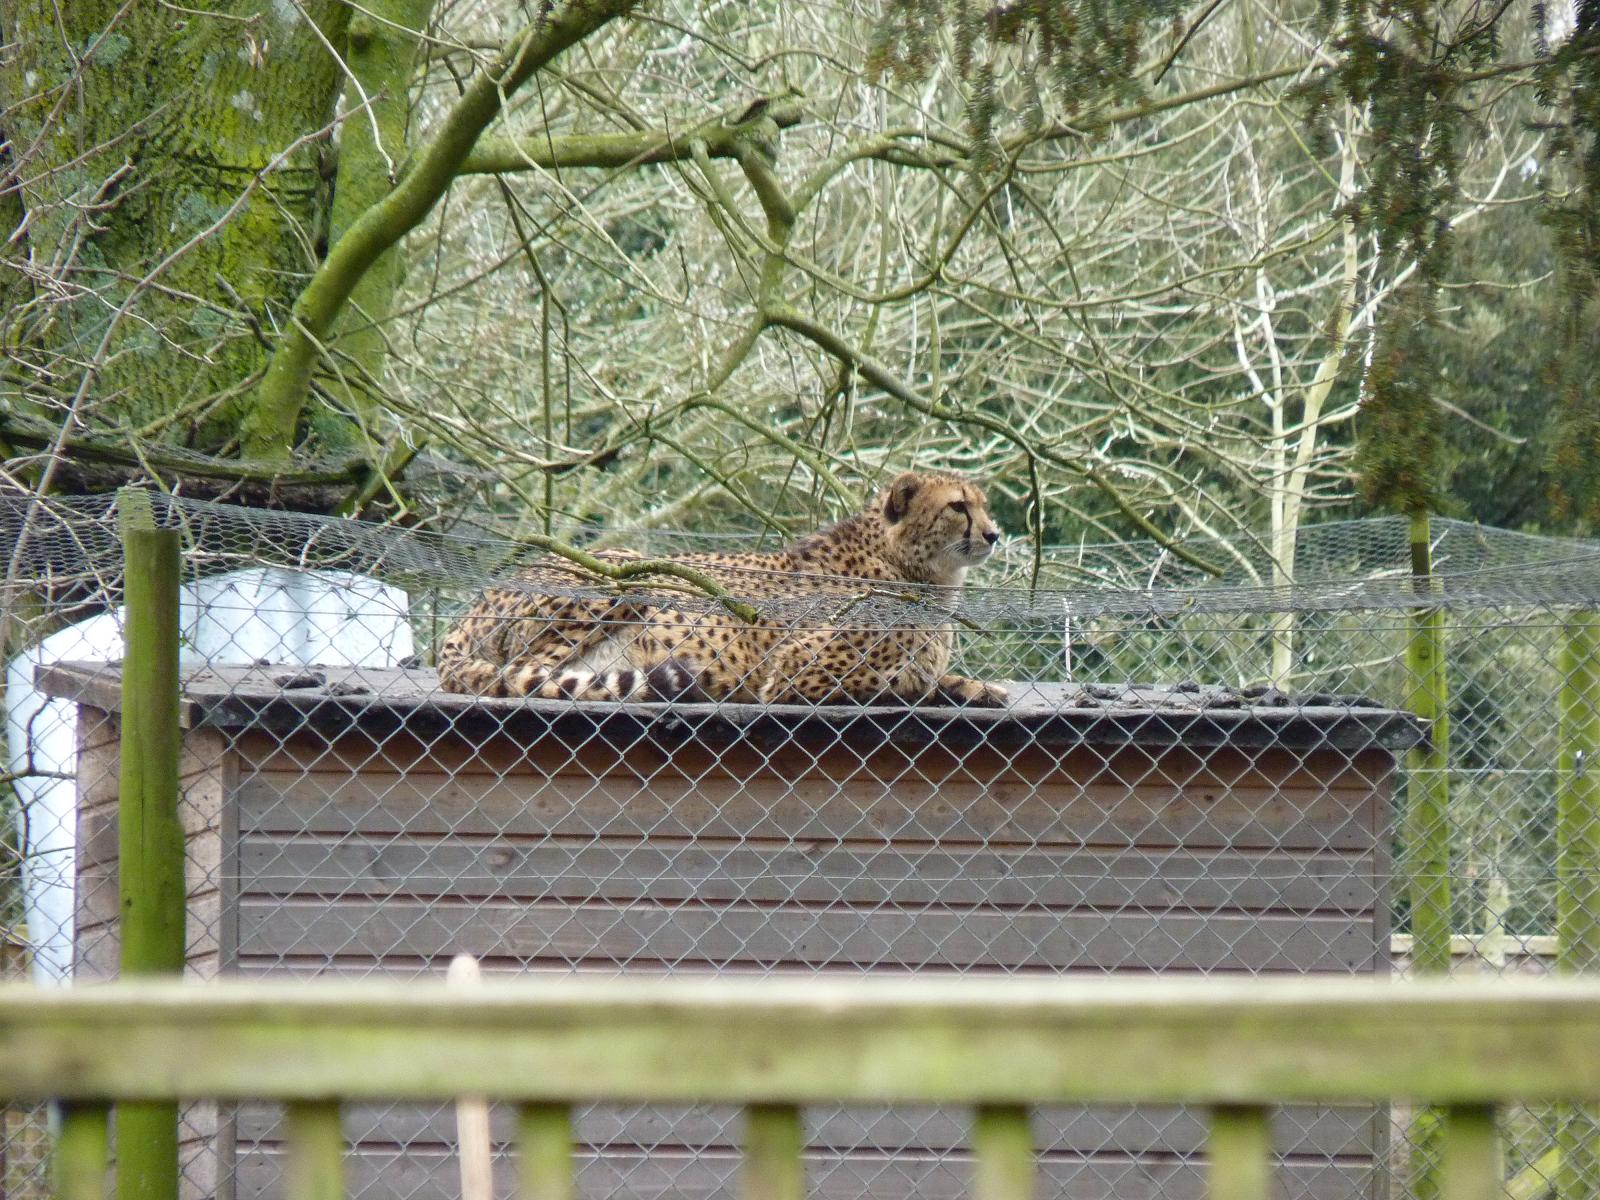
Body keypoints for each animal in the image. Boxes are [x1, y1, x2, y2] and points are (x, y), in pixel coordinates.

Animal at [435, 471, 1008, 707]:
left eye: (984, 505)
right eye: (959, 506)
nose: (994, 534)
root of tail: (478, 599)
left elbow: (936, 677)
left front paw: (977, 687)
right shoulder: (794, 672)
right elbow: (900, 683)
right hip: (627, 575)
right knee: (527, 673)